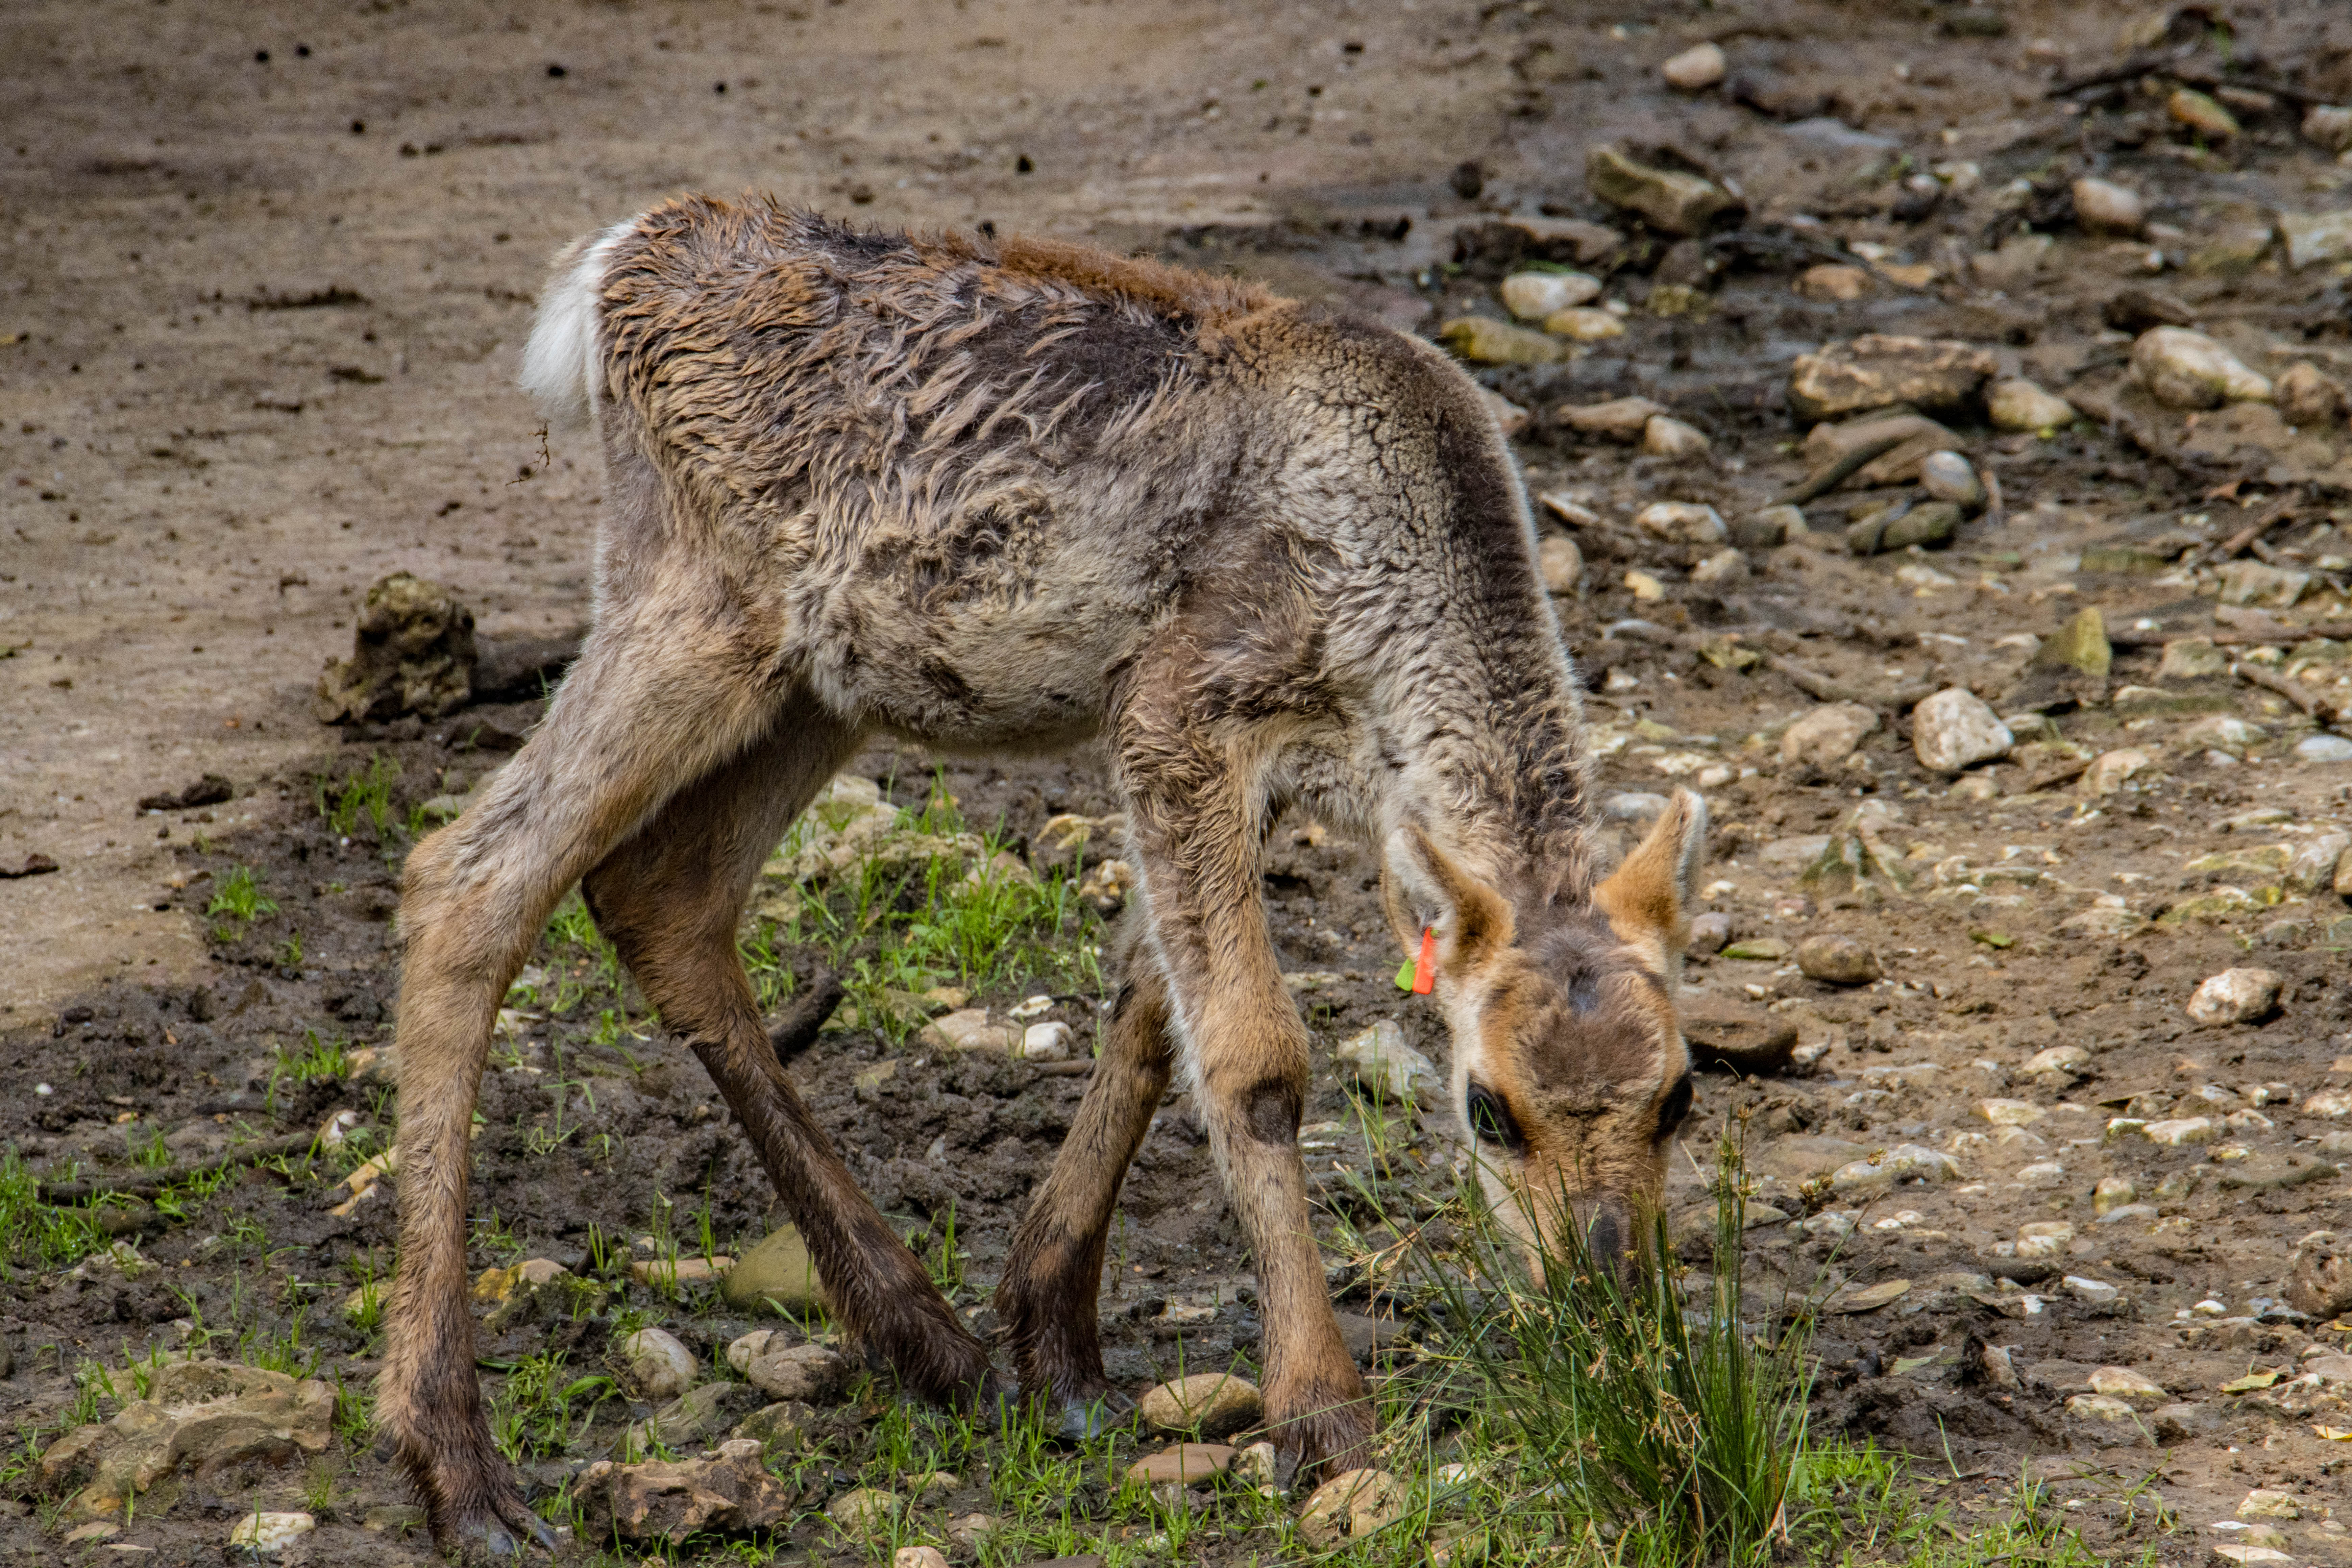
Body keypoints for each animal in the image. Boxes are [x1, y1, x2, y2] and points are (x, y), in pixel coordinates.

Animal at [386, 200, 1712, 1561]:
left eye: (1680, 1094)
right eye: (1484, 1108)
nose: (1605, 1294)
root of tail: (613, 266)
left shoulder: (1232, 766)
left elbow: (1145, 1014)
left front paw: (1053, 1341)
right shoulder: (1180, 705)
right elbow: (1252, 1058)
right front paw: (1319, 1410)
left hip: (820, 679)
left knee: (663, 892)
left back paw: (929, 1342)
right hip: (688, 601)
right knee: (469, 876)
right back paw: (459, 1463)